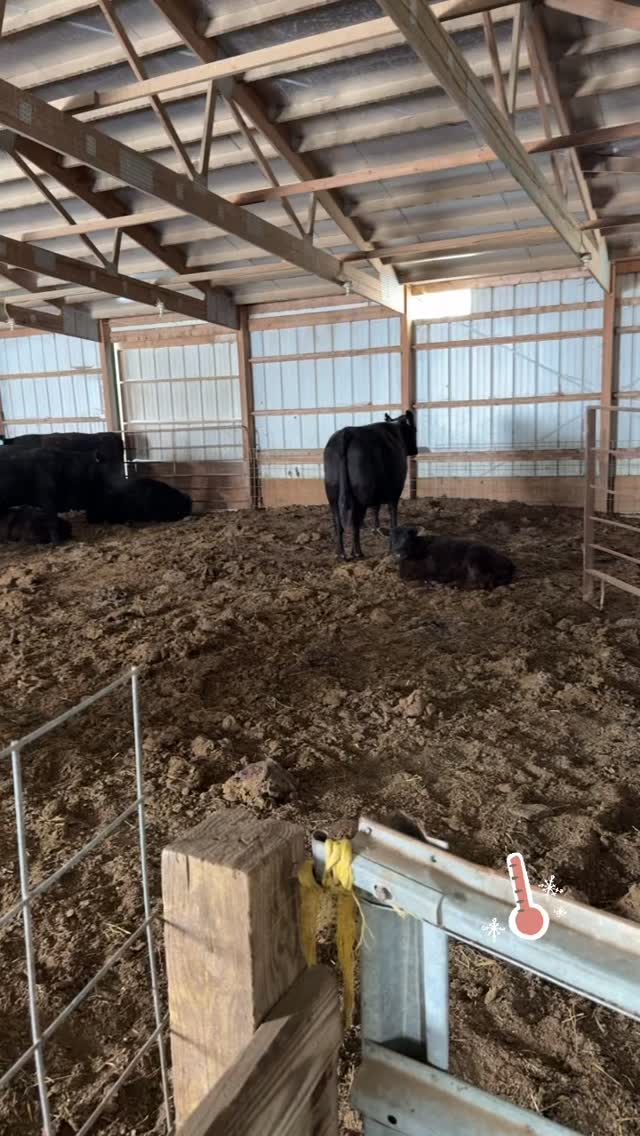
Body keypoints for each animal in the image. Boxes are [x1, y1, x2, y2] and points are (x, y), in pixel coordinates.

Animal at [323, 411, 418, 559]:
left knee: (338, 524)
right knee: (355, 523)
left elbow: (375, 509)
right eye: (414, 430)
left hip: (332, 496)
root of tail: (346, 433)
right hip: (361, 496)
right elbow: (392, 514)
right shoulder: (395, 492)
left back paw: (341, 553)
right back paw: (357, 552)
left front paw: (376, 528)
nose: (415, 450)